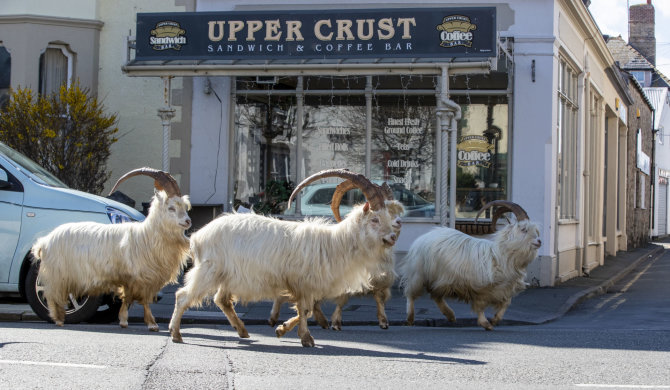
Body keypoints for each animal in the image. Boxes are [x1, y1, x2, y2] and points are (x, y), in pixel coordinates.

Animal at [32, 169, 193, 330]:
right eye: (171, 208)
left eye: (185, 207)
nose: (188, 221)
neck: (147, 235)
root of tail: (45, 242)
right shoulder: (138, 277)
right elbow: (138, 299)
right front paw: (148, 324)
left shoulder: (141, 278)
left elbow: (134, 298)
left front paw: (128, 321)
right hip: (58, 273)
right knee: (52, 294)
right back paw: (58, 319)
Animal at [171, 169, 404, 346]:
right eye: (374, 219)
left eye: (388, 217)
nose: (393, 237)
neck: (335, 243)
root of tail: (198, 236)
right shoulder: (303, 283)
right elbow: (305, 309)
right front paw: (306, 338)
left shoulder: (305, 287)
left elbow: (306, 311)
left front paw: (282, 330)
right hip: (209, 270)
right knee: (183, 296)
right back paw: (176, 334)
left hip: (228, 276)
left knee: (222, 299)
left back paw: (242, 331)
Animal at [402, 203, 544, 330]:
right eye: (524, 230)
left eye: (535, 230)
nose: (539, 241)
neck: (501, 255)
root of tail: (424, 237)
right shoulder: (481, 288)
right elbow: (480, 306)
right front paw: (486, 323)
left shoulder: (504, 289)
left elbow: (505, 304)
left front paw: (495, 319)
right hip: (419, 273)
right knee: (411, 294)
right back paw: (410, 318)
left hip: (440, 280)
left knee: (436, 296)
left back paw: (450, 315)